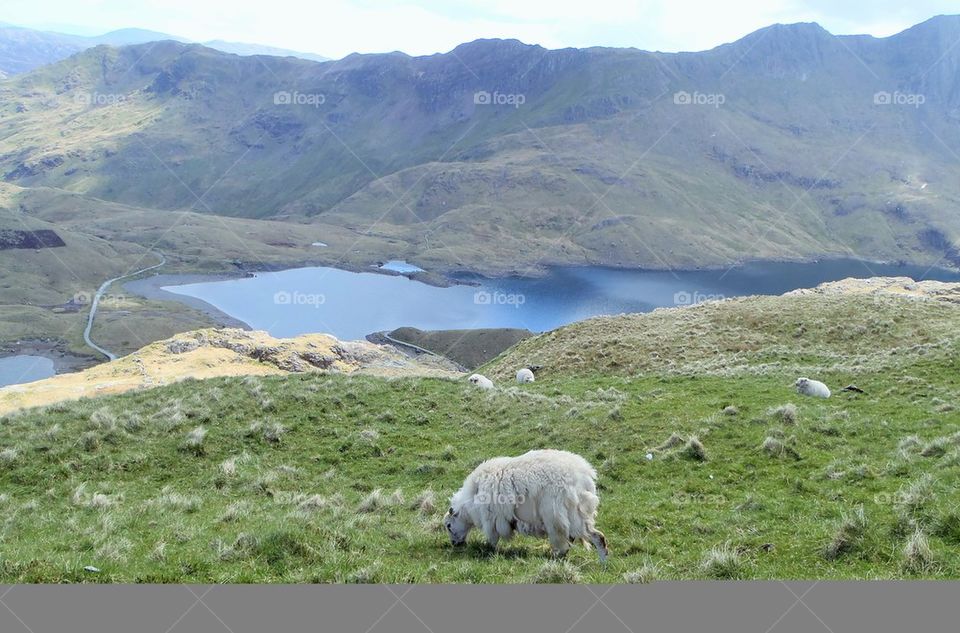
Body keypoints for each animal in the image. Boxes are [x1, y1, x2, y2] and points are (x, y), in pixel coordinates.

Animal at [444, 449, 608, 561]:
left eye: (448, 525)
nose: (454, 544)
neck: (471, 501)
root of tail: (585, 476)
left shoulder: (492, 519)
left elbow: (492, 538)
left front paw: (488, 551)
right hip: (576, 513)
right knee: (584, 536)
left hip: (561, 513)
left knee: (591, 537)